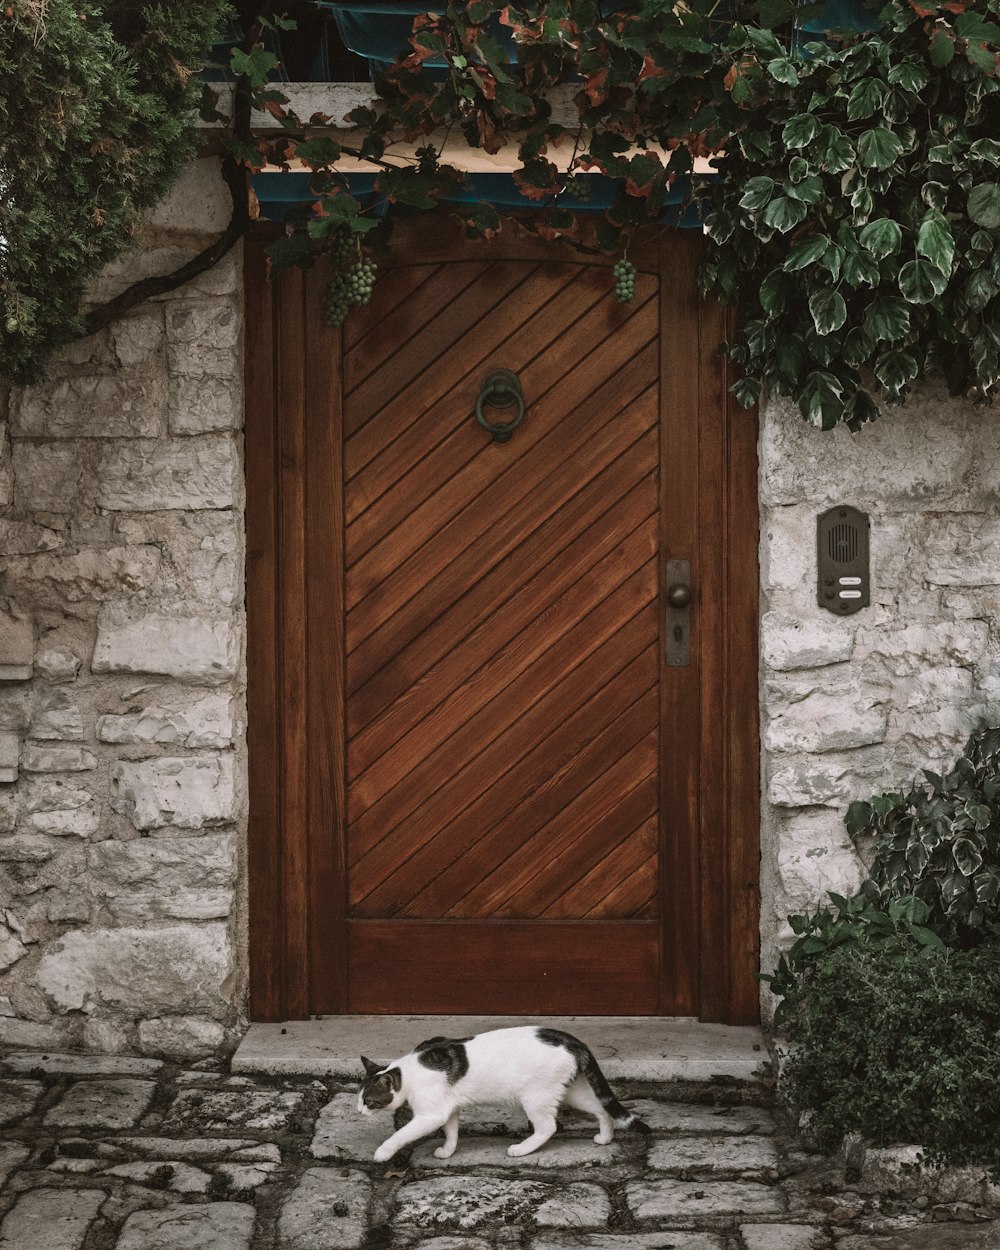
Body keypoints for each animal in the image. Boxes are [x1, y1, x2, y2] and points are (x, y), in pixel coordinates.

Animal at [357, 1025, 650, 1160]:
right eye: (358, 1099)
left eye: (368, 1101)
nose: (358, 1111)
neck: (407, 1071)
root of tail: (572, 1039)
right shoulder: (449, 1108)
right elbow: (452, 1132)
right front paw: (447, 1151)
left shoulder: (431, 1115)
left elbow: (400, 1135)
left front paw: (382, 1153)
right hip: (572, 1093)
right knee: (602, 1109)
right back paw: (605, 1138)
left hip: (535, 1097)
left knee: (548, 1127)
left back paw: (521, 1149)